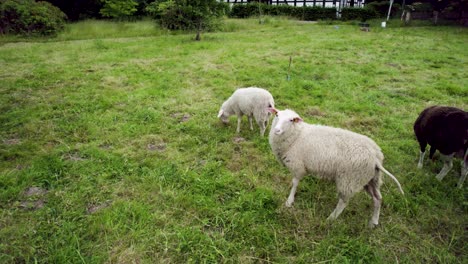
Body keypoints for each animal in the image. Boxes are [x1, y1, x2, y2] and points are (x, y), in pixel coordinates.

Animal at [268, 108, 404, 228]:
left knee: (343, 202)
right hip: (370, 178)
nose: (277, 130)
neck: (297, 135)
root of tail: (376, 157)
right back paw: (373, 222)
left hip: (349, 179)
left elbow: (295, 183)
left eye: (291, 120)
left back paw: (331, 218)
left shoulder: (298, 166)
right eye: (277, 115)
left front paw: (289, 201)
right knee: (377, 198)